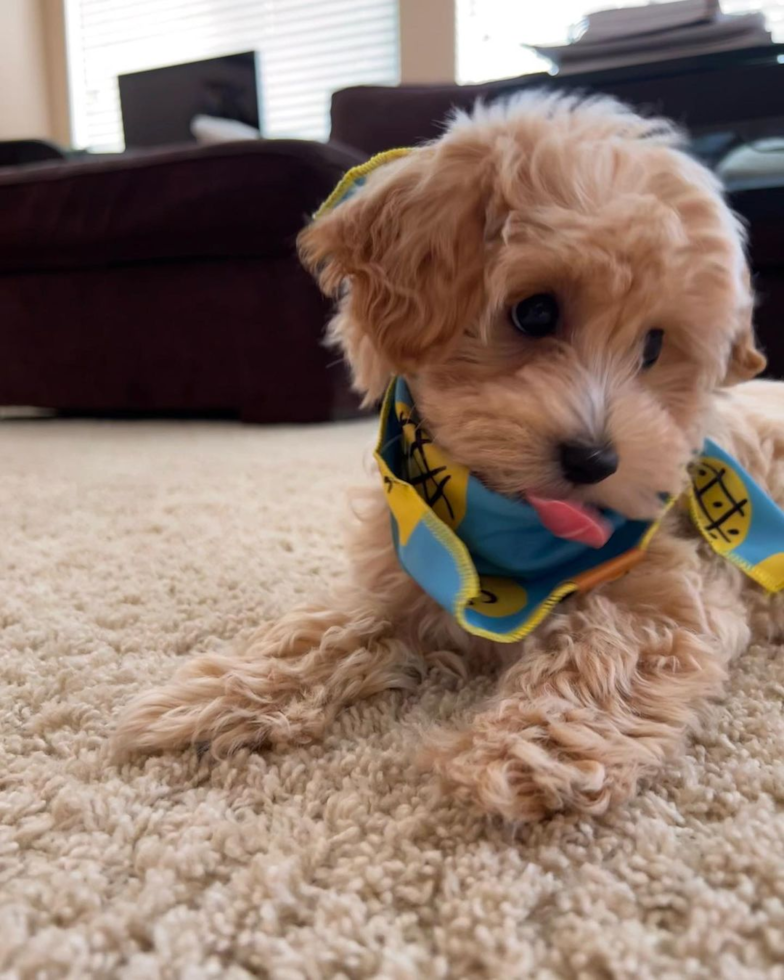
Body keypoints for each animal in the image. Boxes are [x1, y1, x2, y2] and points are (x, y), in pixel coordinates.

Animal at [113, 94, 780, 820]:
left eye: (655, 346)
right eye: (535, 312)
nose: (596, 461)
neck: (506, 551)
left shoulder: (667, 592)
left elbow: (605, 655)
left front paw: (526, 751)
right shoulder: (402, 570)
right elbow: (325, 630)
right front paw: (214, 697)